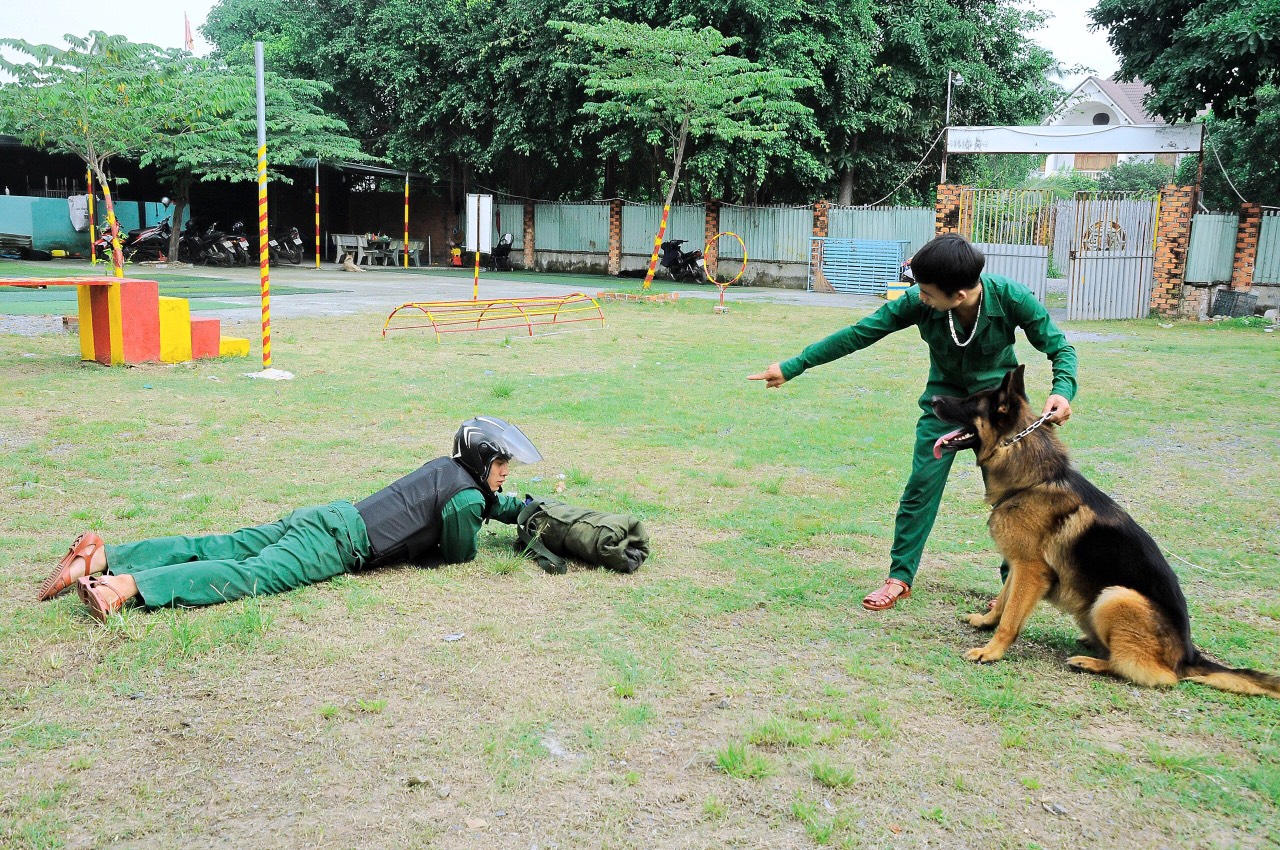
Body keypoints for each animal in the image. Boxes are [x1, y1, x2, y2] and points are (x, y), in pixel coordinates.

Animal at [931, 366, 1280, 696]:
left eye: (971, 401)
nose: (933, 399)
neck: (1033, 480)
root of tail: (1189, 656)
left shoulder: (1031, 571)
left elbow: (1011, 617)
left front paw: (991, 651)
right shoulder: (1020, 566)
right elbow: (1004, 602)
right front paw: (985, 622)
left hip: (1116, 596)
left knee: (1157, 675)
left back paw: (1092, 662)